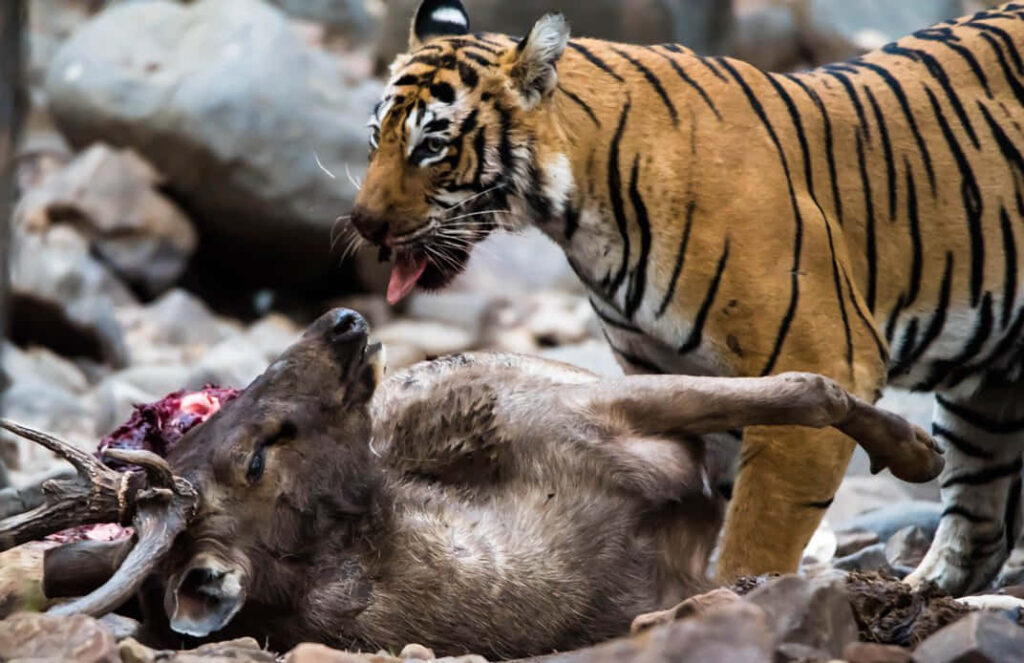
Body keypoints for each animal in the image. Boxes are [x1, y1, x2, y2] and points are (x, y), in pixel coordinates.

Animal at [349, 0, 1024, 595]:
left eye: (431, 147)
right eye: (375, 138)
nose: (363, 224)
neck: (580, 216)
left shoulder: (828, 357)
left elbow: (760, 530)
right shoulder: (682, 379)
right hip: (986, 398)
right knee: (981, 519)